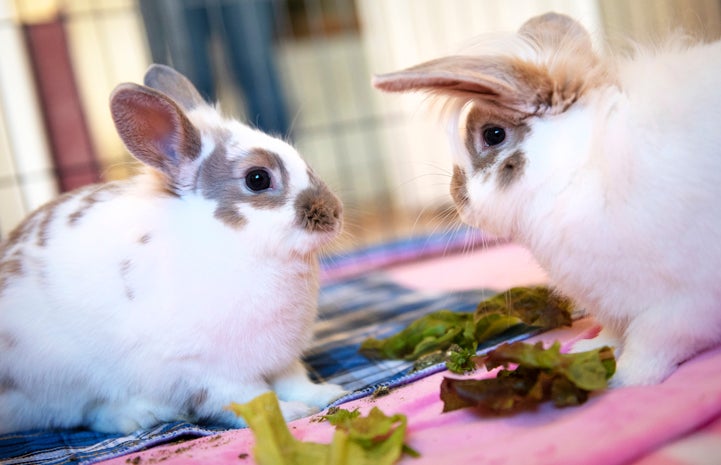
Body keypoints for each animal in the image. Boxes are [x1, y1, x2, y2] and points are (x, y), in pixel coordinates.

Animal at [0, 64, 346, 432]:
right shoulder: (205, 369)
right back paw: (142, 415)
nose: (335, 214)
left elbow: (294, 380)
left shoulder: (282, 356)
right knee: (90, 413)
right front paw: (290, 413)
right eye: (257, 178)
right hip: (64, 381)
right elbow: (251, 399)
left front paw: (326, 393)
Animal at [374, 12, 720, 386]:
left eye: (493, 134)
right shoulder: (614, 304)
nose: (457, 198)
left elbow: (650, 344)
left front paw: (623, 379)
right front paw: (588, 349)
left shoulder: (681, 304)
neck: (582, 164)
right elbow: (614, 333)